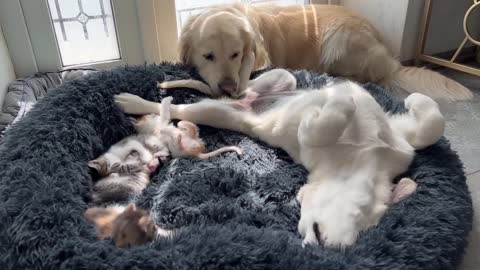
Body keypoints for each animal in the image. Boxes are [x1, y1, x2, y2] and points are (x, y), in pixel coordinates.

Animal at [114, 70, 444, 249]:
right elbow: (432, 125)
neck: (364, 160)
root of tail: (240, 103)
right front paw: (345, 97)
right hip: (234, 101)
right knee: (181, 105)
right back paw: (133, 101)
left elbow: (431, 126)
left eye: (368, 231)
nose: (314, 248)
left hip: (246, 97)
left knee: (211, 99)